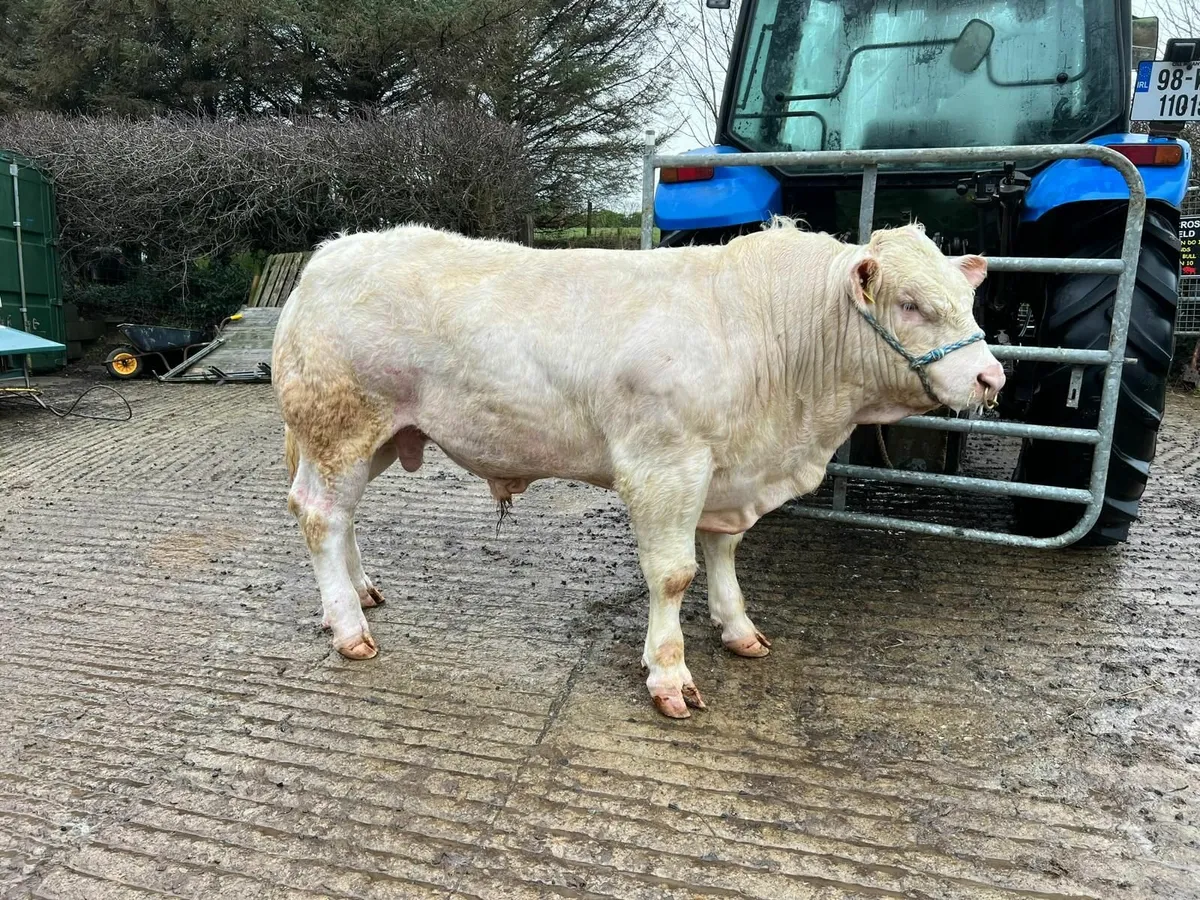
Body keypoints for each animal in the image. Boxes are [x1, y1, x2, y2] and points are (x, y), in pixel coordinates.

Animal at [273, 218, 1004, 719]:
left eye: (968, 303)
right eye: (910, 303)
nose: (991, 377)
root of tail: (334, 251)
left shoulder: (725, 473)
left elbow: (723, 552)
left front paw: (738, 628)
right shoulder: (665, 463)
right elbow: (673, 573)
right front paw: (670, 674)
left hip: (381, 435)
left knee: (340, 516)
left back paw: (358, 592)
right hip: (339, 425)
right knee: (319, 515)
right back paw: (348, 627)